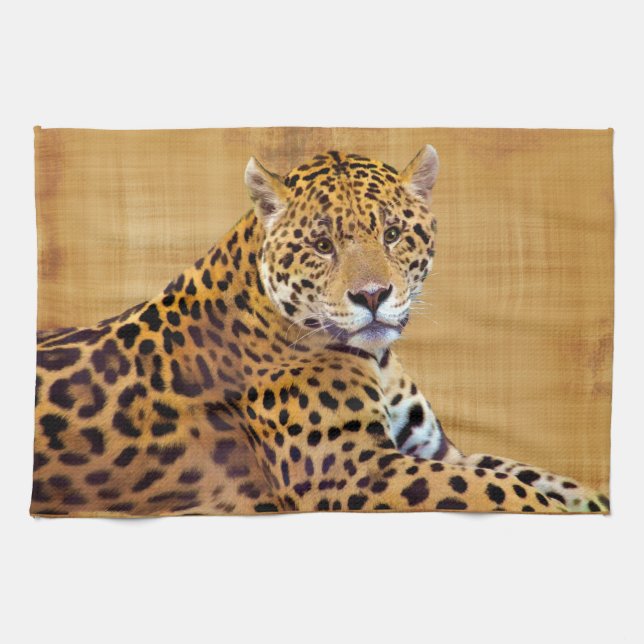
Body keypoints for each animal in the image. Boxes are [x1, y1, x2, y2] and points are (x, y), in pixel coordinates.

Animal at [31, 146, 610, 516]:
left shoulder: (436, 452)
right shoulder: (353, 468)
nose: (373, 296)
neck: (378, 361)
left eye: (392, 234)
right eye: (322, 245)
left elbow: (535, 478)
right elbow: (509, 494)